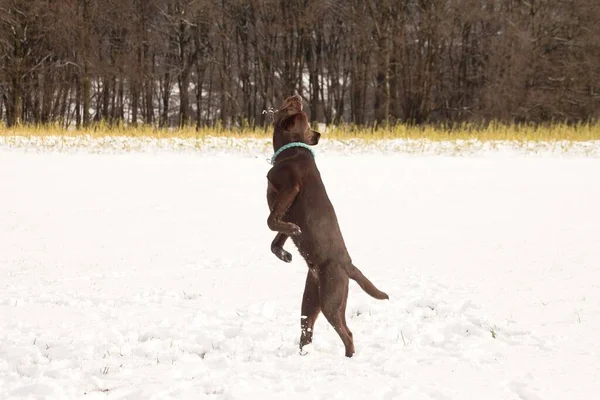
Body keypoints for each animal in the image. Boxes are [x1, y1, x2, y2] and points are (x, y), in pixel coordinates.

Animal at [266, 95, 390, 358]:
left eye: (292, 107)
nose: (296, 96)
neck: (291, 149)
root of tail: (348, 266)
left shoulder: (290, 189)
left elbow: (272, 222)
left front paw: (293, 232)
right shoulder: (288, 209)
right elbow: (276, 238)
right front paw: (285, 254)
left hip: (331, 300)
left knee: (347, 333)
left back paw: (348, 358)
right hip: (310, 299)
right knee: (307, 330)